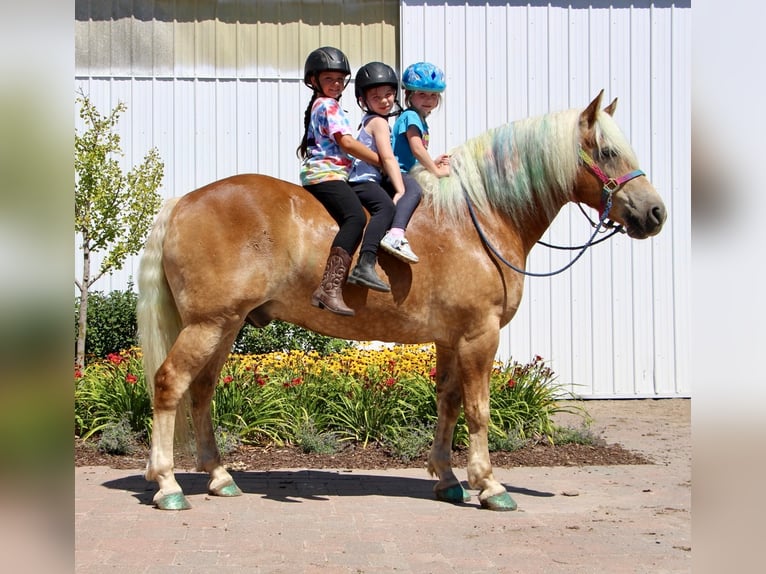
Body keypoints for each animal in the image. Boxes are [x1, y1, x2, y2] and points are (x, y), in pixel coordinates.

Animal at [136, 91, 664, 512]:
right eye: (608, 151)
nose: (655, 213)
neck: (477, 219)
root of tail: (183, 201)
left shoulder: (452, 339)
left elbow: (449, 402)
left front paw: (448, 479)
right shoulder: (480, 335)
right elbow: (479, 409)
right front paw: (489, 485)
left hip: (226, 325)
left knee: (202, 391)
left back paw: (219, 477)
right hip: (208, 323)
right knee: (169, 384)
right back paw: (167, 485)